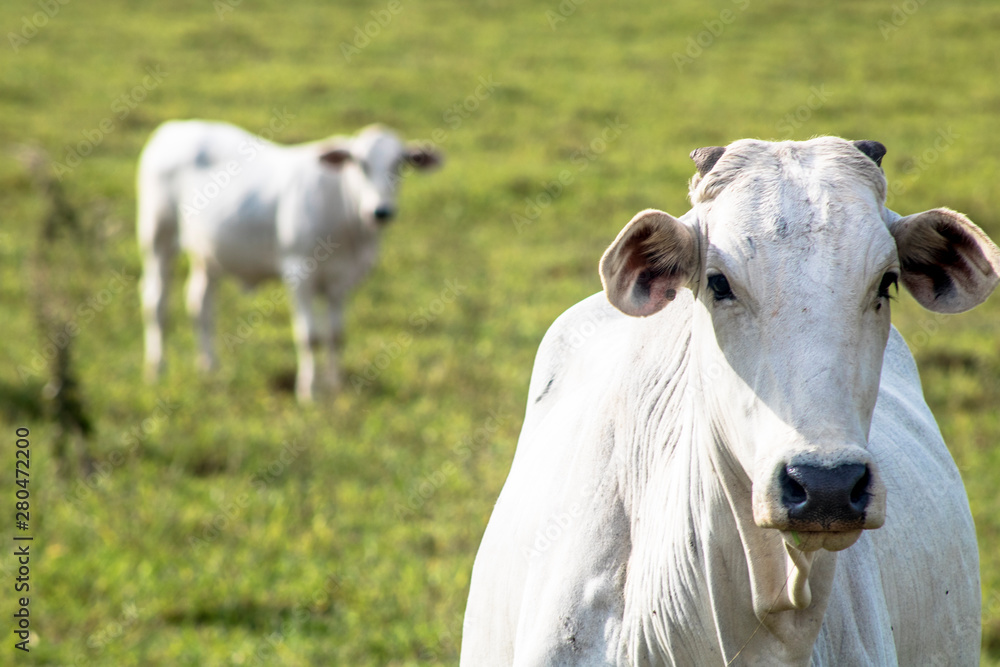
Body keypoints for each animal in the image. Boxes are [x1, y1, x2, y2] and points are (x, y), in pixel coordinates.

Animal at [137, 120, 442, 402]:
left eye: (400, 164)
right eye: (360, 164)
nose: (381, 211)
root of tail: (175, 127)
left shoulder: (342, 280)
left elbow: (336, 335)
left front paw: (335, 387)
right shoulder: (299, 273)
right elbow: (310, 337)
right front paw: (309, 392)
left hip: (209, 253)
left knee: (200, 304)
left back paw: (209, 368)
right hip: (158, 237)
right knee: (157, 302)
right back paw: (157, 368)